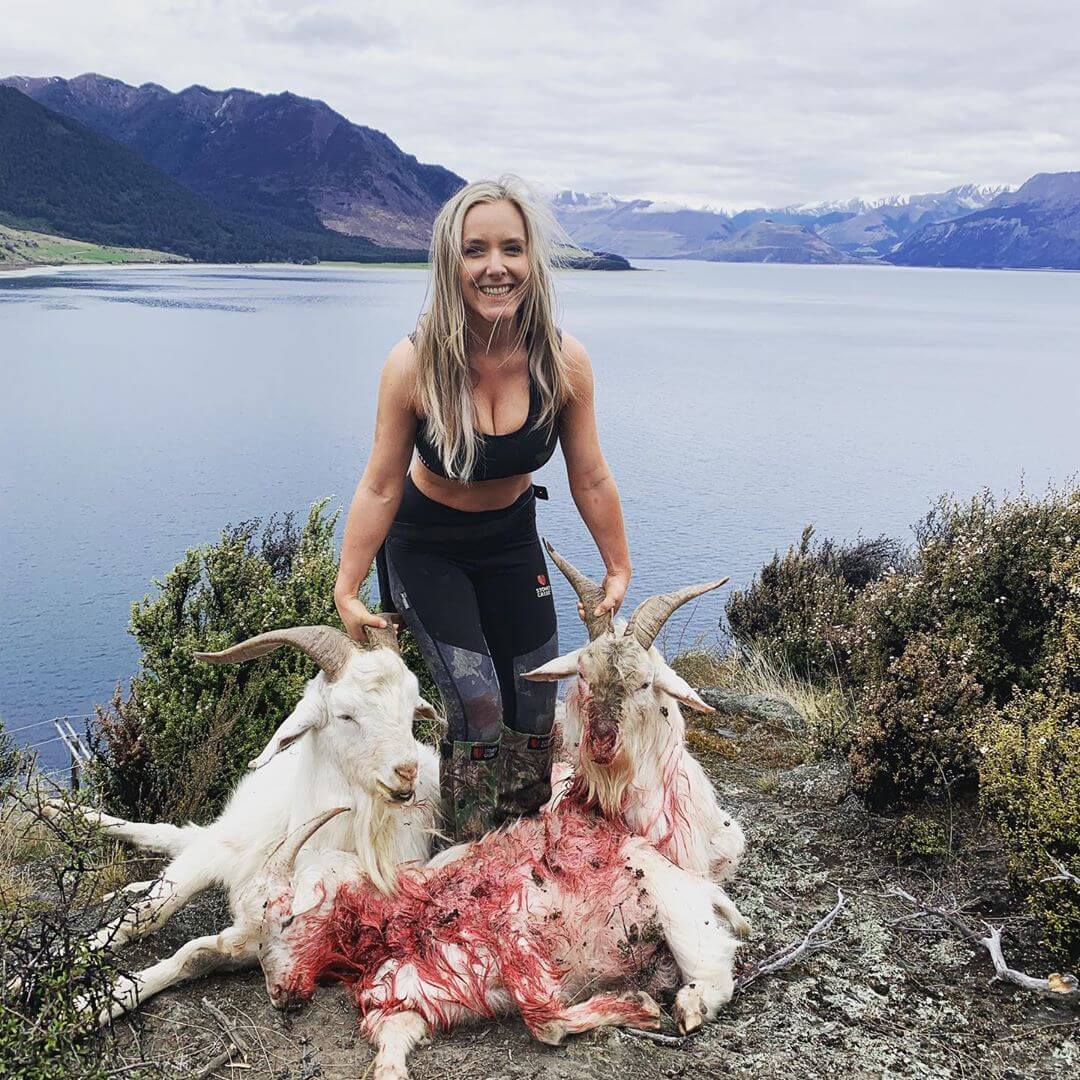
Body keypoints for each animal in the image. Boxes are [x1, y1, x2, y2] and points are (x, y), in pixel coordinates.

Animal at [47, 624, 439, 1020]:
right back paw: (57, 809)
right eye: (346, 715)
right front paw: (62, 960)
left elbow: (196, 956)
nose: (406, 772)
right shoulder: (218, 854)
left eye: (411, 712)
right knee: (171, 836)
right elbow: (145, 915)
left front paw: (94, 1004)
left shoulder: (260, 934)